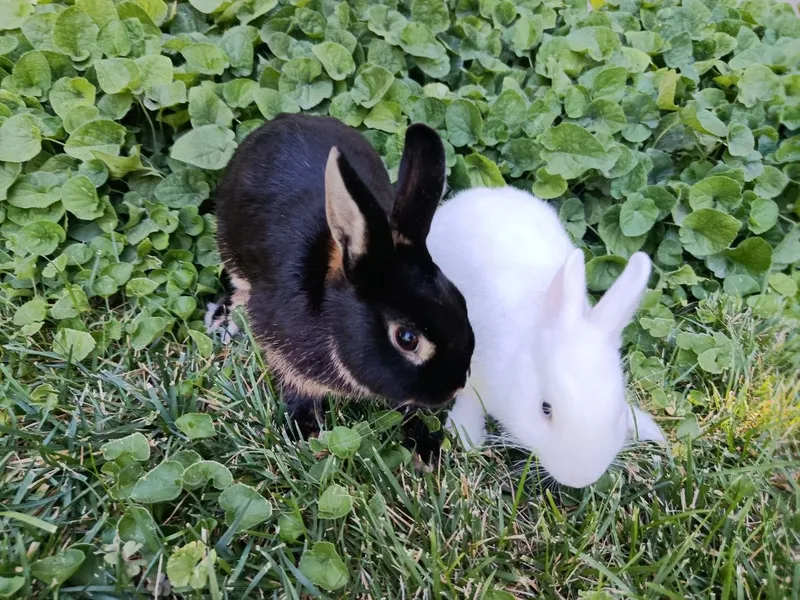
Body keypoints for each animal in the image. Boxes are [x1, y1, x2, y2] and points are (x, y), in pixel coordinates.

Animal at [206, 114, 475, 461]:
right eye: (407, 339)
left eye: (461, 301)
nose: (457, 384)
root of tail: (283, 121)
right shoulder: (285, 355)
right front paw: (307, 434)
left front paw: (425, 449)